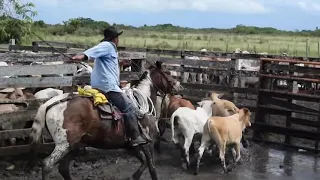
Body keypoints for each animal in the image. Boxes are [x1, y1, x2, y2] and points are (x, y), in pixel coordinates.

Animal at [28, 60, 180, 180]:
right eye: (167, 73)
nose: (179, 86)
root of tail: (49, 103)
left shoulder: (131, 145)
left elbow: (143, 163)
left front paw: (133, 176)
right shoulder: (148, 142)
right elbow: (151, 167)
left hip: (71, 146)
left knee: (63, 168)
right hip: (63, 144)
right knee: (47, 165)